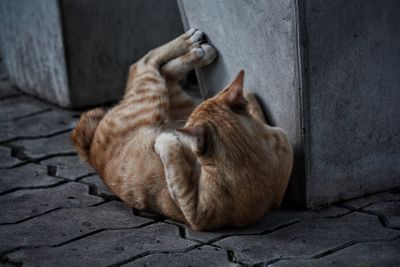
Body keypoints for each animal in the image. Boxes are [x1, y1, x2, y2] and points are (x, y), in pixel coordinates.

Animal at [70, 28, 292, 230]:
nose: (181, 127)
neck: (251, 156)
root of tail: (91, 152)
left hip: (162, 98)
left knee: (152, 67)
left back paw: (196, 48)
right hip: (158, 99)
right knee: (149, 66)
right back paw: (194, 46)